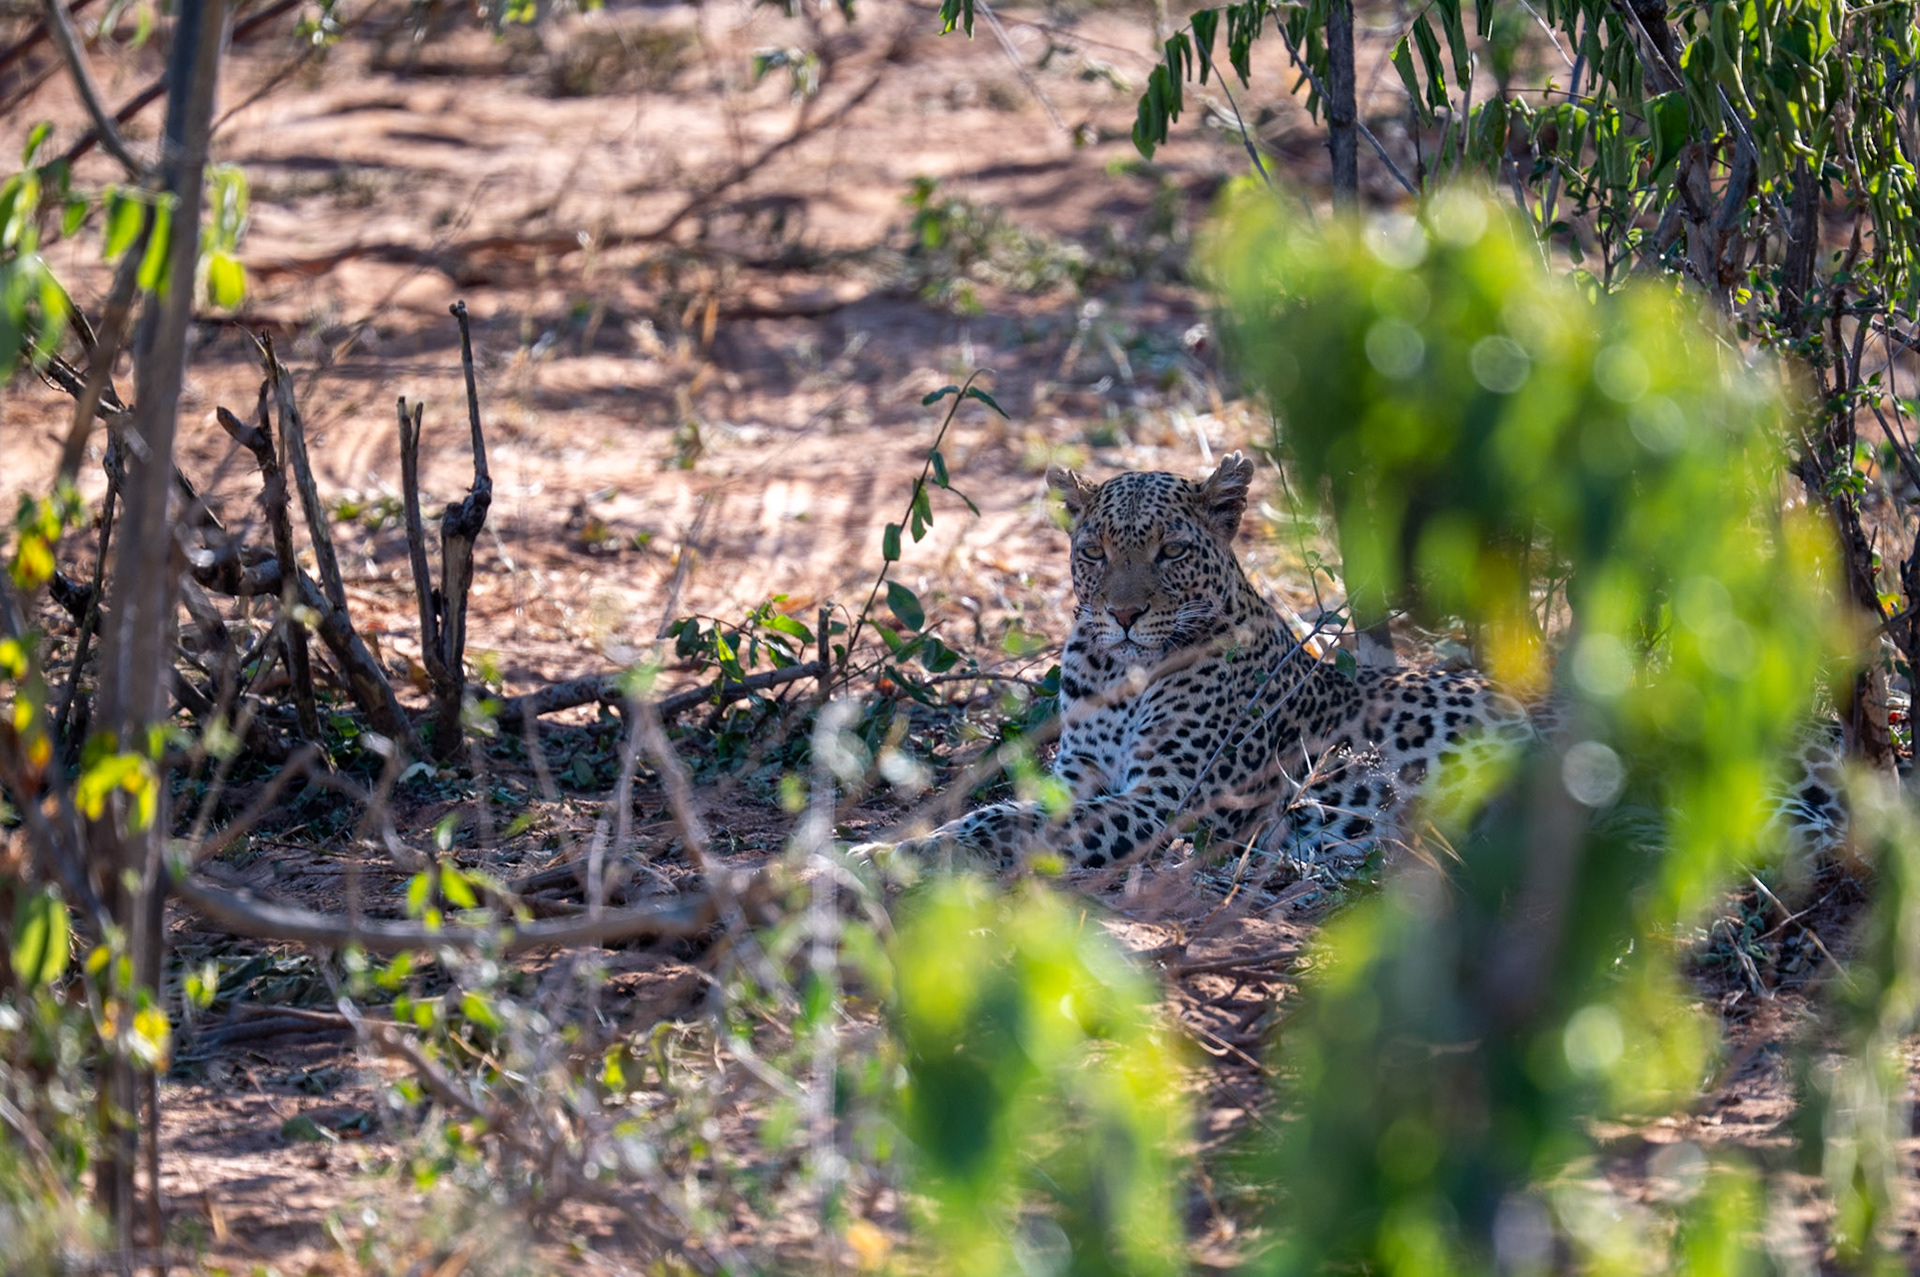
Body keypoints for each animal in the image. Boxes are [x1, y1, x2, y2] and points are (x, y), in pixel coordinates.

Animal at [873, 452, 1854, 874]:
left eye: (1169, 552)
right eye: (1096, 550)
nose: (1120, 613)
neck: (1120, 677)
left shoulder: (1162, 803)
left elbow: (1007, 830)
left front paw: (884, 860)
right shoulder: (1079, 774)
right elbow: (997, 810)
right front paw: (895, 843)